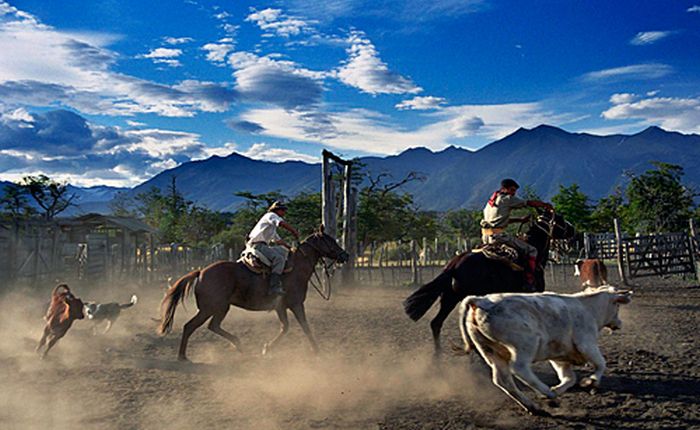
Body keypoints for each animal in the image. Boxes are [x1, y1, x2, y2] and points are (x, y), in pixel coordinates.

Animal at [157, 230, 346, 362]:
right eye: (330, 241)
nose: (346, 255)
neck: (297, 267)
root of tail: (201, 272)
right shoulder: (296, 304)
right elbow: (305, 327)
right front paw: (317, 351)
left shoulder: (280, 307)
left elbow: (285, 327)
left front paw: (267, 348)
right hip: (211, 308)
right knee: (190, 326)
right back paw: (183, 356)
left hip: (220, 308)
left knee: (213, 326)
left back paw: (238, 345)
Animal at [460, 288, 636, 414]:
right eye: (617, 305)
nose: (619, 323)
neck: (587, 308)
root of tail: (480, 300)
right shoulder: (587, 344)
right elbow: (601, 364)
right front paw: (590, 381)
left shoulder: (560, 357)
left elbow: (569, 378)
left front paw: (557, 389)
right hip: (524, 345)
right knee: (519, 369)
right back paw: (546, 394)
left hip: (490, 352)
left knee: (502, 380)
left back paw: (533, 406)